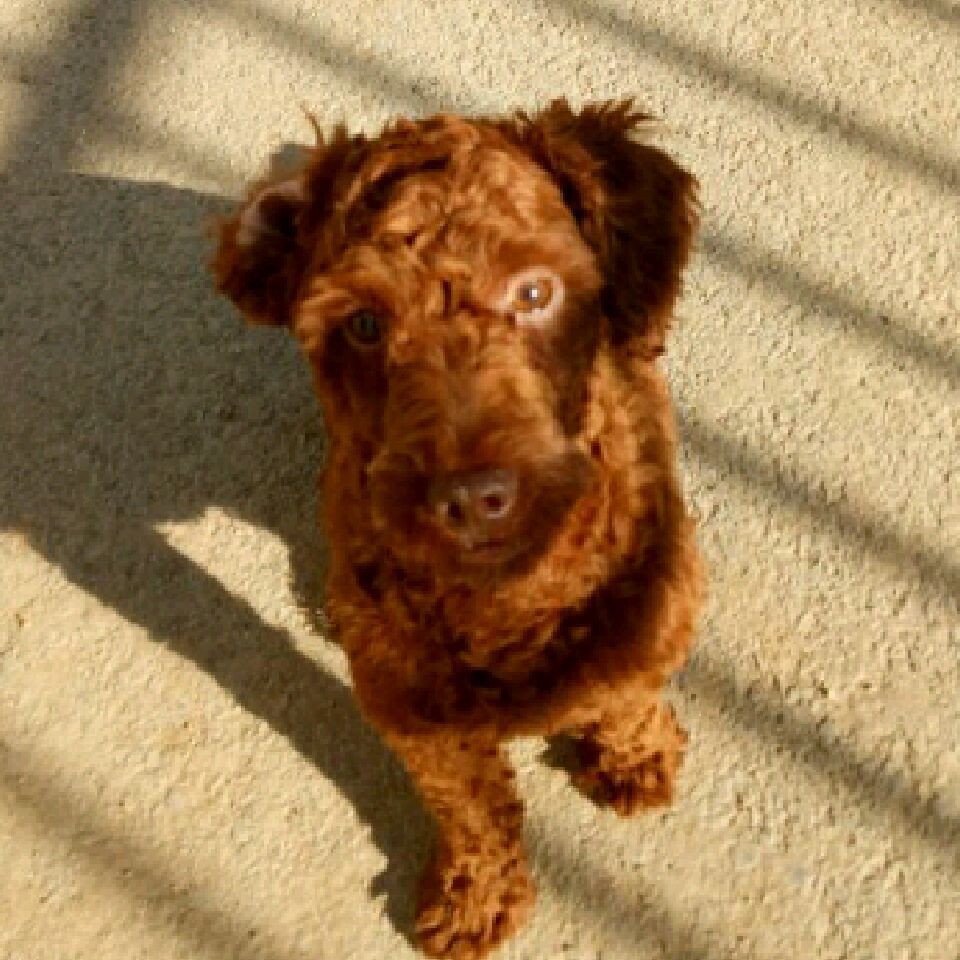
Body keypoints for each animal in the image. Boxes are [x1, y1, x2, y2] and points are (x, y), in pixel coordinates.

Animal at [212, 99, 703, 959]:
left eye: (535, 292)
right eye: (364, 324)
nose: (472, 497)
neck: (507, 596)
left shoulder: (656, 611)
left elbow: (625, 693)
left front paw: (634, 756)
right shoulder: (413, 712)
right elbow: (467, 803)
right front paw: (478, 893)